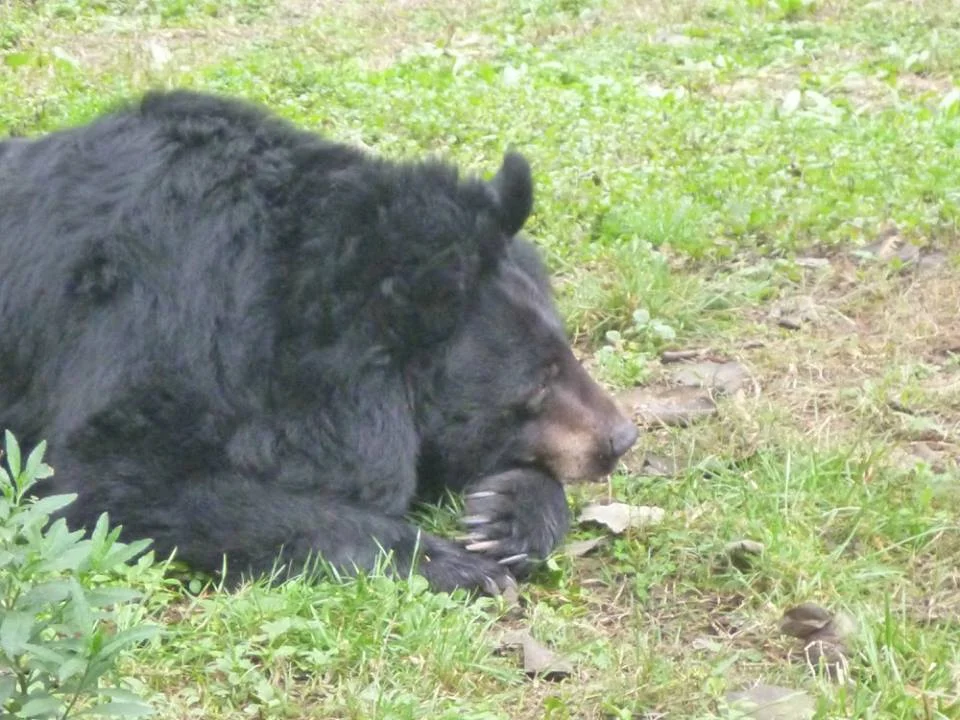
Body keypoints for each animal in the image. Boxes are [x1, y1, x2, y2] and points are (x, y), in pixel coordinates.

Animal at [0, 90, 638, 594]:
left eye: (564, 352)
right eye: (538, 380)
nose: (622, 438)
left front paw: (502, 520)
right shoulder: (151, 320)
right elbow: (106, 476)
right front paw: (454, 565)